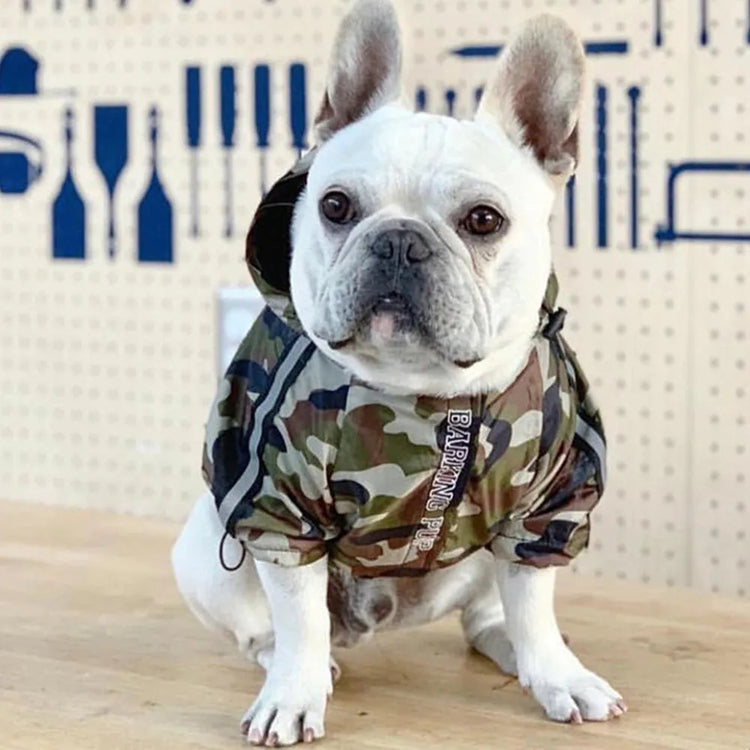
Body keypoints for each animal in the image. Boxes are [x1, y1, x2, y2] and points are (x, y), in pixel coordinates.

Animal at [173, 2, 624, 748]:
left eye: (483, 220)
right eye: (334, 206)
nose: (398, 240)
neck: (427, 393)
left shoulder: (547, 506)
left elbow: (534, 602)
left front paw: (558, 675)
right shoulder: (281, 509)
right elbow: (298, 616)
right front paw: (293, 695)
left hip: (481, 565)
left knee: (490, 614)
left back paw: (512, 651)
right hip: (208, 553)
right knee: (273, 631)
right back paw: (303, 662)